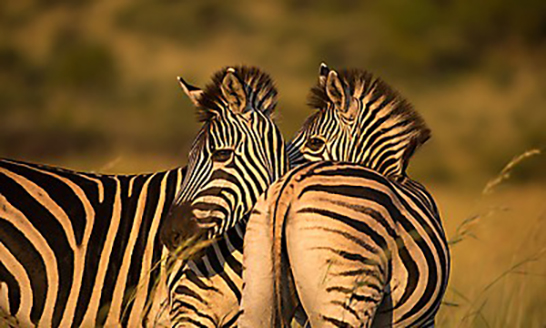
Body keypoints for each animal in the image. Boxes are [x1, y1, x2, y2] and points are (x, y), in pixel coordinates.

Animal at [240, 64, 448, 328]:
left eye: (315, 143)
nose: (274, 172)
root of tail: (290, 185)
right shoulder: (422, 321)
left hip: (257, 286)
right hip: (347, 287)